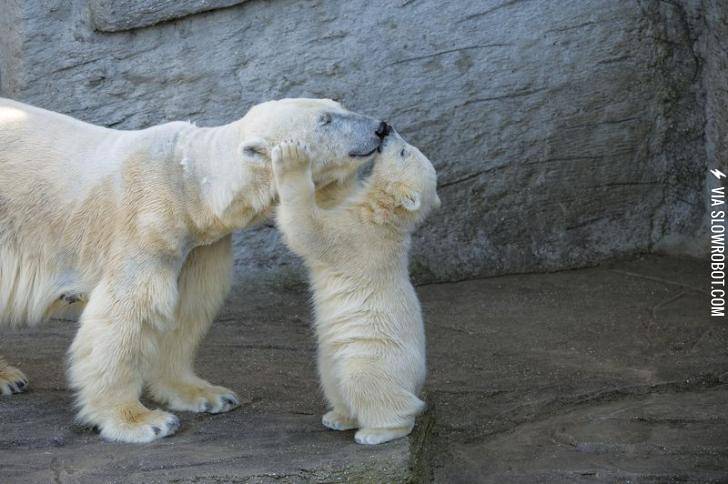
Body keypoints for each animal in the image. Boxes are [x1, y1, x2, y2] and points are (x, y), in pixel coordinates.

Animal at [0, 97, 390, 442]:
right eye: (325, 120)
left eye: (338, 105)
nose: (381, 127)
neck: (188, 184)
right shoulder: (146, 223)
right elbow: (127, 313)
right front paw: (142, 421)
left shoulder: (200, 242)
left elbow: (187, 308)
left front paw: (207, 394)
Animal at [271, 134, 440, 445]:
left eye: (403, 151)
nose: (388, 129)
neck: (385, 214)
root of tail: (414, 382)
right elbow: (331, 199)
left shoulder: (356, 237)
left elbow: (308, 229)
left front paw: (292, 157)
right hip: (332, 355)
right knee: (331, 376)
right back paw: (338, 417)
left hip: (375, 356)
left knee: (365, 382)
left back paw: (376, 431)